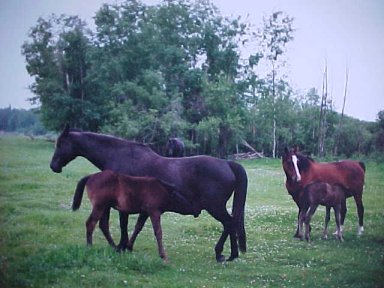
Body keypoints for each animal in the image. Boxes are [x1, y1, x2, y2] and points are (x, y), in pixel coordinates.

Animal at [49, 125, 248, 262]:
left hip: (215, 207)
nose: (53, 166)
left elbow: (124, 225)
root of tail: (227, 163)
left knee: (229, 223)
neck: (121, 156)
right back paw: (232, 254)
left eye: (60, 144)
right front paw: (127, 246)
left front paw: (122, 246)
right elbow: (137, 226)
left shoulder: (125, 205)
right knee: (232, 223)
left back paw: (221, 253)